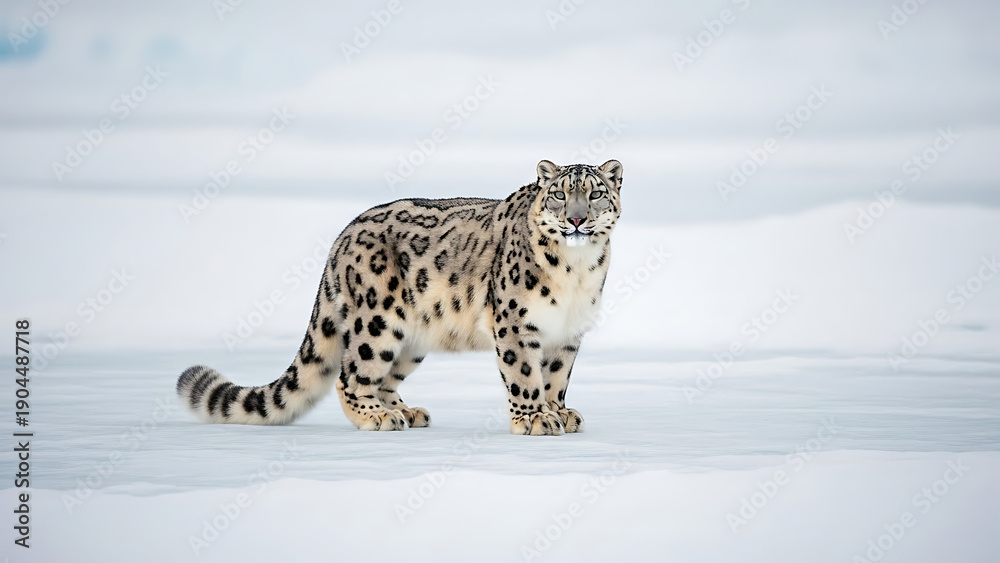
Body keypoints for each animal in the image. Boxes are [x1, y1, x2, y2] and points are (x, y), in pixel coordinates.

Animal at [176, 159, 623, 435]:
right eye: (560, 194)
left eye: (595, 194)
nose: (576, 219)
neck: (576, 271)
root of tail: (341, 238)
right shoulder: (515, 323)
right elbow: (526, 376)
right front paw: (534, 419)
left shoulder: (567, 334)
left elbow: (556, 378)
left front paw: (560, 412)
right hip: (377, 322)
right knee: (351, 376)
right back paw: (377, 417)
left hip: (414, 337)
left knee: (384, 378)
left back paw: (403, 410)